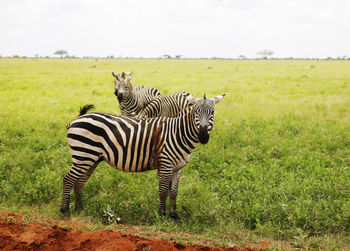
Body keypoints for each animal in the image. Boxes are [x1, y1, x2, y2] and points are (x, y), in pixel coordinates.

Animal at [60, 93, 226, 219]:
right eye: (196, 113)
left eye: (212, 113)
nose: (203, 137)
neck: (178, 133)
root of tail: (77, 119)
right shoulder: (165, 163)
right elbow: (163, 190)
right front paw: (162, 214)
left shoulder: (178, 168)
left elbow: (174, 192)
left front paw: (174, 215)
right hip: (83, 155)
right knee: (68, 179)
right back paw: (65, 210)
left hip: (91, 158)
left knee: (79, 182)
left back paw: (80, 209)